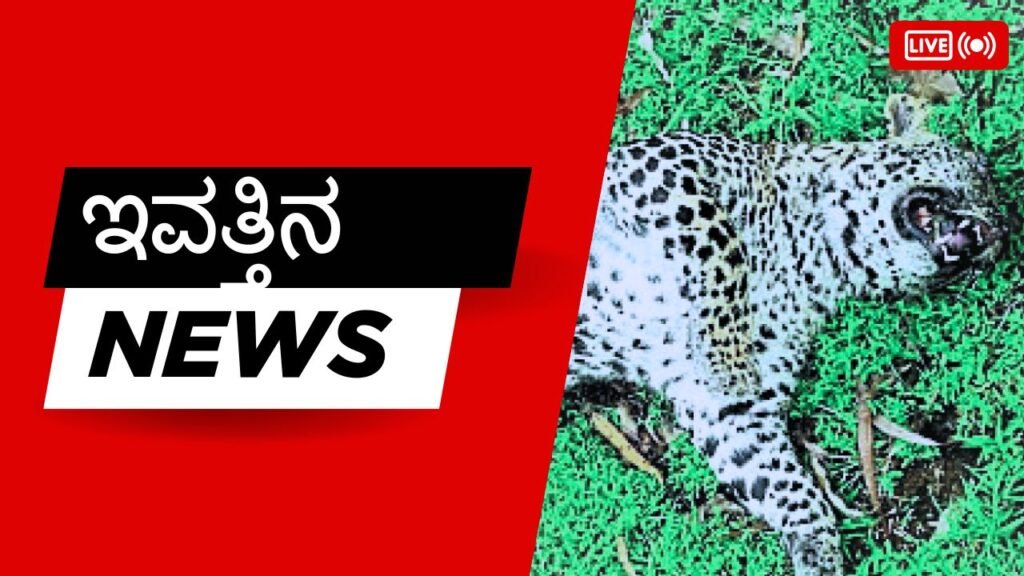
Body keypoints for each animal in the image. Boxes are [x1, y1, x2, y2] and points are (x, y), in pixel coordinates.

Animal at [566, 96, 1012, 576]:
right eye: (980, 168)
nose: (1002, 229)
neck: (814, 258)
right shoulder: (665, 169)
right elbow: (723, 249)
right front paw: (727, 363)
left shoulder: (737, 415)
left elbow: (786, 484)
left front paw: (819, 550)